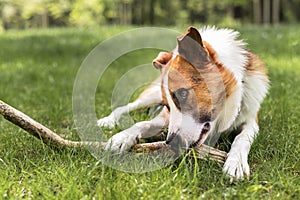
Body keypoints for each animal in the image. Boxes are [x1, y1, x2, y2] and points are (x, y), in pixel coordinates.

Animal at [98, 25, 270, 179]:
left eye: (182, 93)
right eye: (167, 106)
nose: (171, 143)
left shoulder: (251, 121)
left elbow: (242, 139)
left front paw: (236, 162)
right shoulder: (165, 116)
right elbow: (143, 123)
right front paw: (122, 137)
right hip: (150, 96)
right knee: (124, 107)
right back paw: (108, 120)